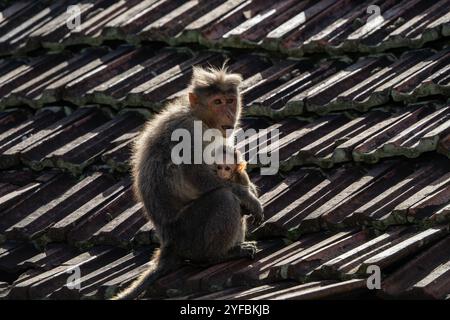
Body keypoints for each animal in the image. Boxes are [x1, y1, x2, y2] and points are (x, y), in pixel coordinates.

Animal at [112, 65, 266, 300]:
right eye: (217, 102)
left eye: (230, 100)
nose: (229, 113)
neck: (200, 117)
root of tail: (168, 245)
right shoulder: (189, 133)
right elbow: (200, 178)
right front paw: (248, 196)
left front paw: (250, 189)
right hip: (188, 235)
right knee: (223, 198)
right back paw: (220, 255)